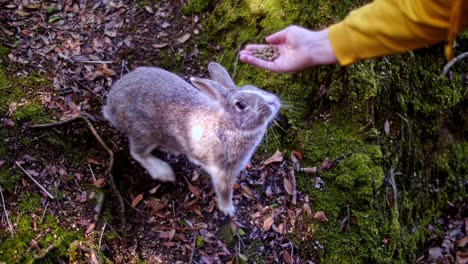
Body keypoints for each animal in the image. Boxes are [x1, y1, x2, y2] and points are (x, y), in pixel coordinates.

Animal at [103, 62, 278, 217]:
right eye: (240, 105)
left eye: (254, 87)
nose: (274, 102)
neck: (230, 126)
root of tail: (109, 106)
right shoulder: (222, 172)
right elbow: (224, 192)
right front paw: (228, 210)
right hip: (143, 132)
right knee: (137, 153)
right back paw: (164, 172)